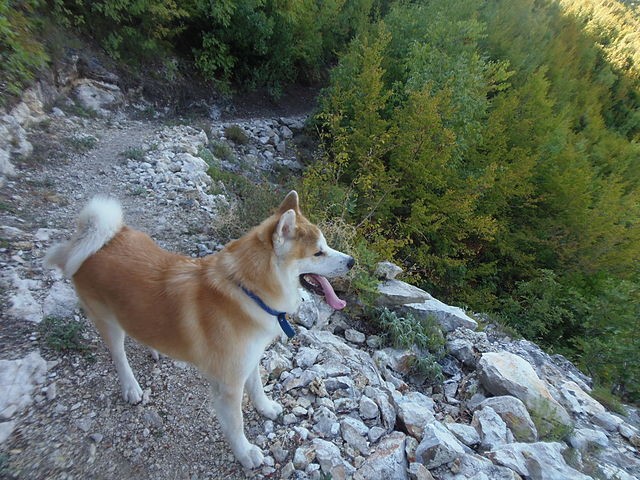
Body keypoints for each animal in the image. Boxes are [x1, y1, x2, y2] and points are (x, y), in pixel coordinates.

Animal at [45, 191, 356, 468]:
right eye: (318, 252)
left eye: (325, 246)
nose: (352, 262)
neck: (247, 292)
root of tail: (94, 241)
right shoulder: (229, 383)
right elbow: (236, 423)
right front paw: (245, 453)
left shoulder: (249, 359)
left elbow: (257, 388)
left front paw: (266, 408)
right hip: (107, 321)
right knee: (119, 356)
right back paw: (131, 387)